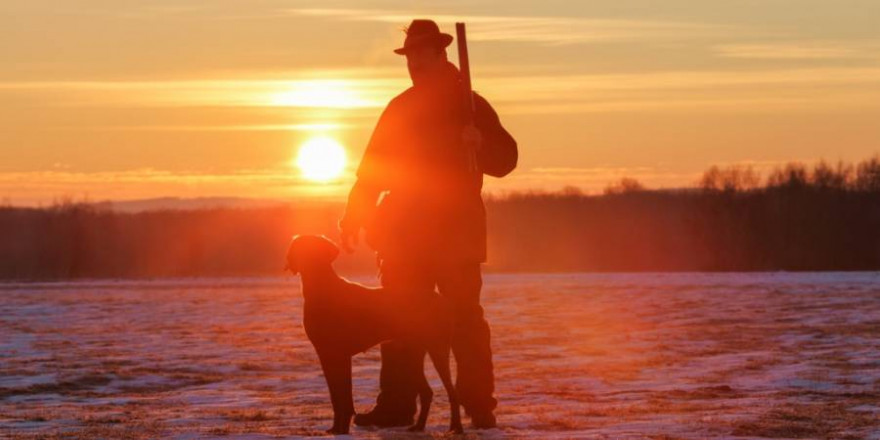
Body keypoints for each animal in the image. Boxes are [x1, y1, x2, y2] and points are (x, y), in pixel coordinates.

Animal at [286, 235, 464, 434]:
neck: (322, 288)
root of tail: (443, 301)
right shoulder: (326, 354)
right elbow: (336, 396)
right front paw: (336, 428)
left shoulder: (339, 354)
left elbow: (343, 397)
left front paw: (342, 428)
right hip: (413, 352)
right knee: (427, 392)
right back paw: (418, 426)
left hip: (437, 348)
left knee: (452, 392)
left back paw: (456, 427)